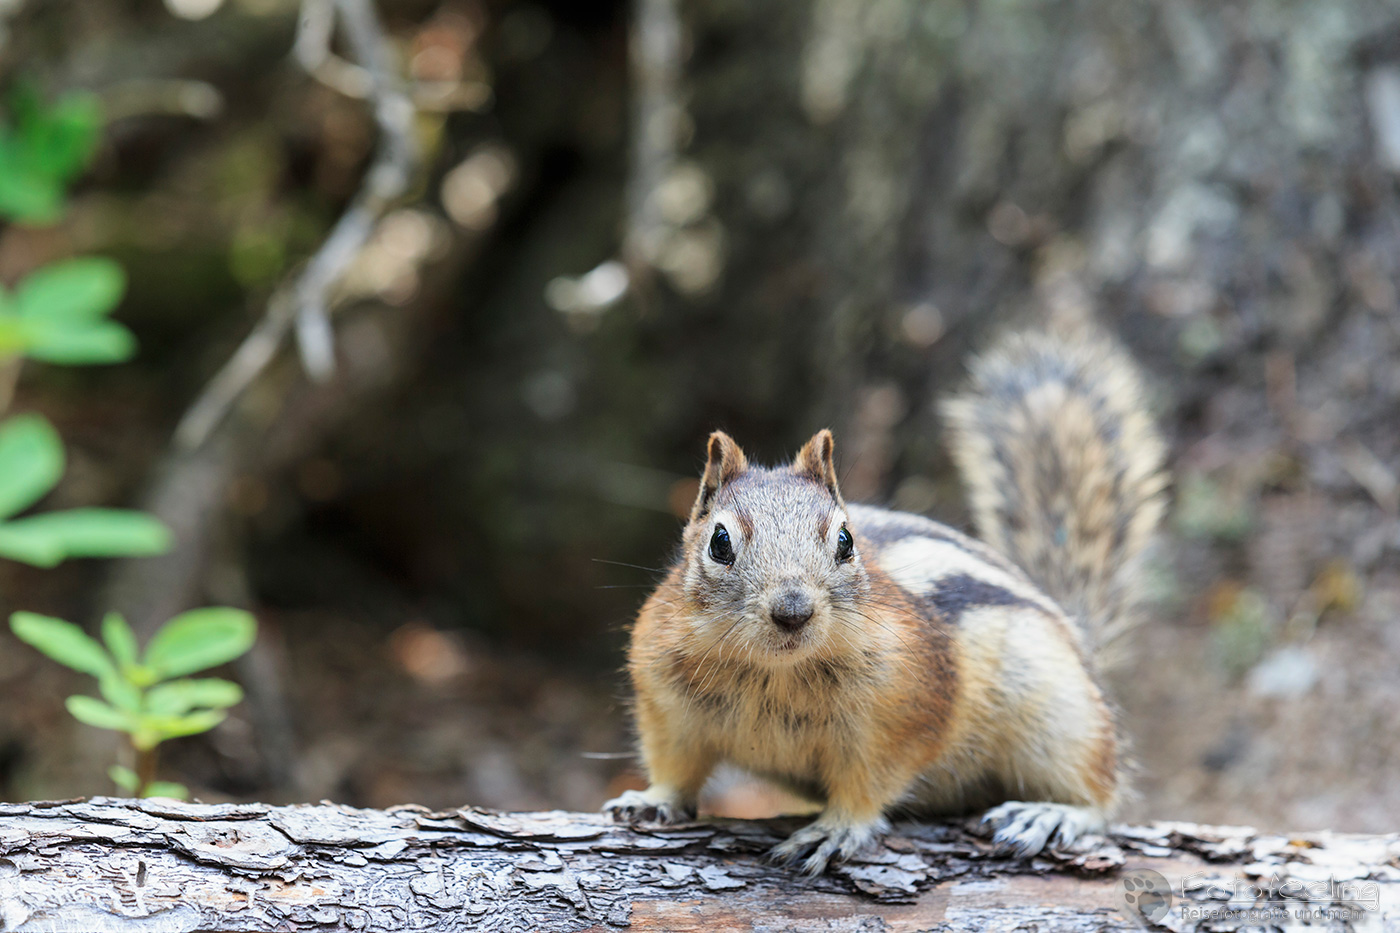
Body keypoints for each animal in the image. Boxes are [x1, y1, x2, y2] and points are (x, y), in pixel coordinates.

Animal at [603, 327, 1168, 874]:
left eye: (846, 540)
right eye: (719, 543)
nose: (793, 611)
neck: (774, 673)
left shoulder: (902, 711)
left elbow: (871, 780)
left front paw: (838, 828)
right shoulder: (667, 706)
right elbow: (675, 765)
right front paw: (653, 800)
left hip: (1061, 715)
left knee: (1100, 793)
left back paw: (1053, 813)